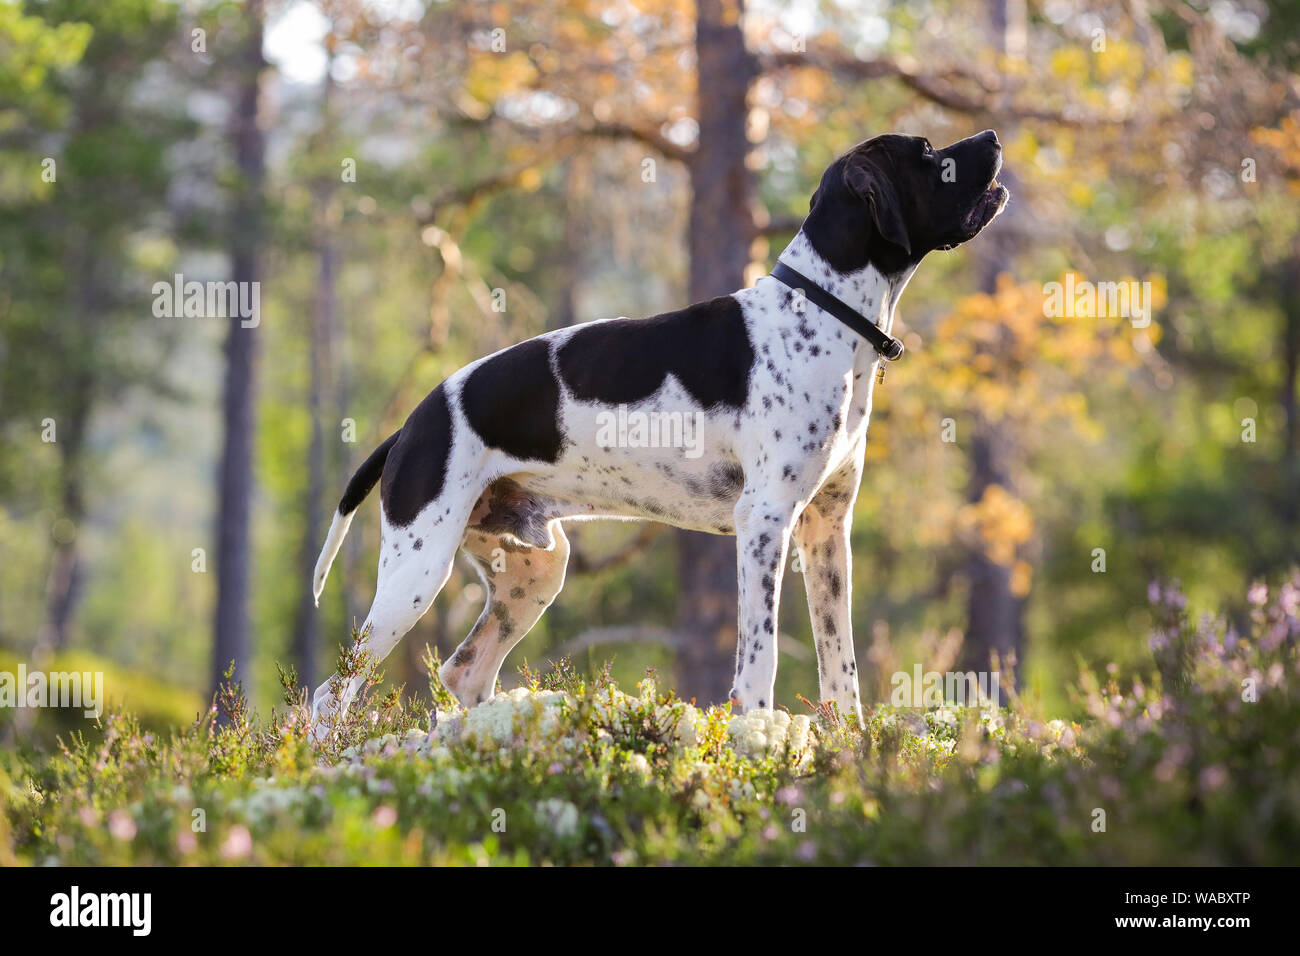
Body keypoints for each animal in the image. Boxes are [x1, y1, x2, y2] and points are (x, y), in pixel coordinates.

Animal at [309, 128, 1008, 738]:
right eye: (927, 152)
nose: (994, 137)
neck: (821, 308)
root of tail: (411, 423)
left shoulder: (827, 532)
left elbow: (842, 666)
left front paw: (851, 747)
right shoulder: (765, 522)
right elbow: (759, 658)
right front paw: (757, 738)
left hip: (533, 574)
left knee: (464, 673)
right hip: (416, 572)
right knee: (328, 695)